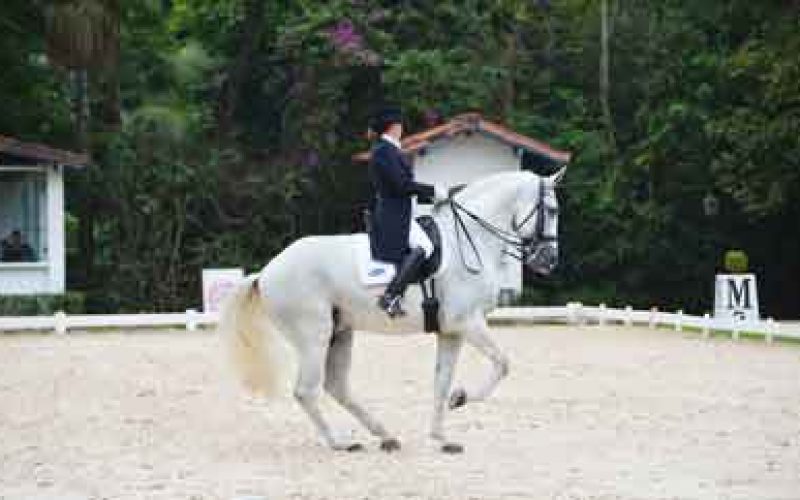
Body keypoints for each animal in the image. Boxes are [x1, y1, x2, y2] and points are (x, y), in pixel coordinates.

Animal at [217, 168, 564, 454]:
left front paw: (442, 437)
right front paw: (461, 399)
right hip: (314, 335)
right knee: (307, 390)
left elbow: (442, 381)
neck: (469, 241)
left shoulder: (451, 330)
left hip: (340, 332)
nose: (548, 260)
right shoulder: (467, 321)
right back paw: (340, 443)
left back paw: (385, 435)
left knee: (337, 387)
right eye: (552, 210)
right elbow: (503, 364)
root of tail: (266, 271)